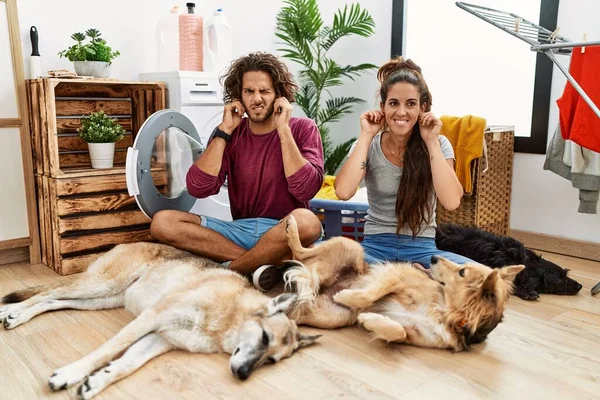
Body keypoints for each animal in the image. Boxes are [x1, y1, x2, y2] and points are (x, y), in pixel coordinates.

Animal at [0, 242, 318, 398]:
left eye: (272, 361)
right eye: (264, 337)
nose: (242, 375)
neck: (228, 316)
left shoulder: (158, 339)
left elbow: (125, 365)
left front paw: (97, 382)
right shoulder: (150, 320)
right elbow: (106, 351)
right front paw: (71, 373)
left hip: (100, 299)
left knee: (52, 301)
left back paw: (17, 314)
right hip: (99, 286)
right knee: (47, 293)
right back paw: (11, 313)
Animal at [284, 216, 524, 350]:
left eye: (462, 271)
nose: (432, 259)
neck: (446, 311)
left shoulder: (412, 334)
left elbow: (397, 331)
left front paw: (370, 320)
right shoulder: (395, 276)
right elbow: (369, 293)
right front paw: (348, 297)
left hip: (332, 316)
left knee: (298, 308)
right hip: (351, 246)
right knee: (301, 252)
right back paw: (291, 226)